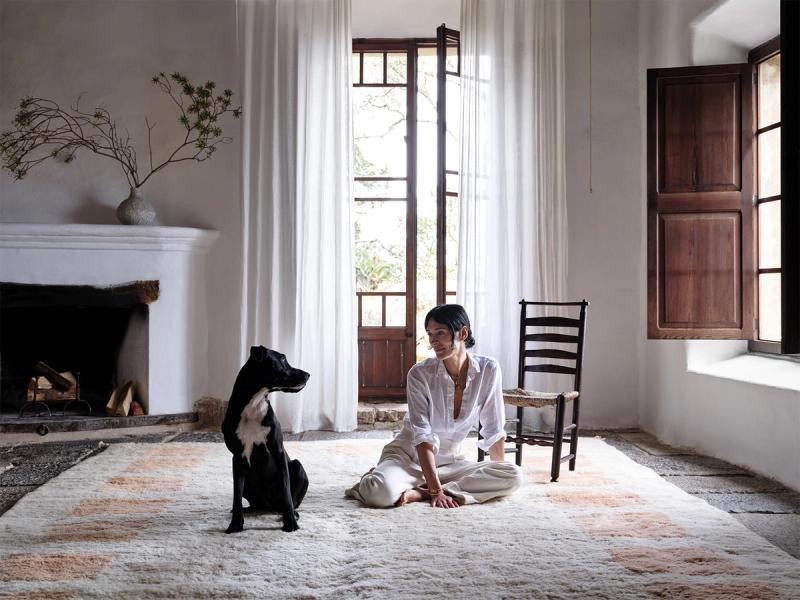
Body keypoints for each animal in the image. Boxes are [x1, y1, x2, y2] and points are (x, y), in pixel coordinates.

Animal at [222, 346, 310, 536]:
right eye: (282, 359)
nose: (308, 374)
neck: (254, 404)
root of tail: (269, 506)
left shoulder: (278, 452)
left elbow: (286, 491)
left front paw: (290, 522)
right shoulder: (237, 458)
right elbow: (236, 495)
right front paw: (235, 524)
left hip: (298, 466)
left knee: (291, 501)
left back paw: (292, 514)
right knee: (252, 503)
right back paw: (247, 510)